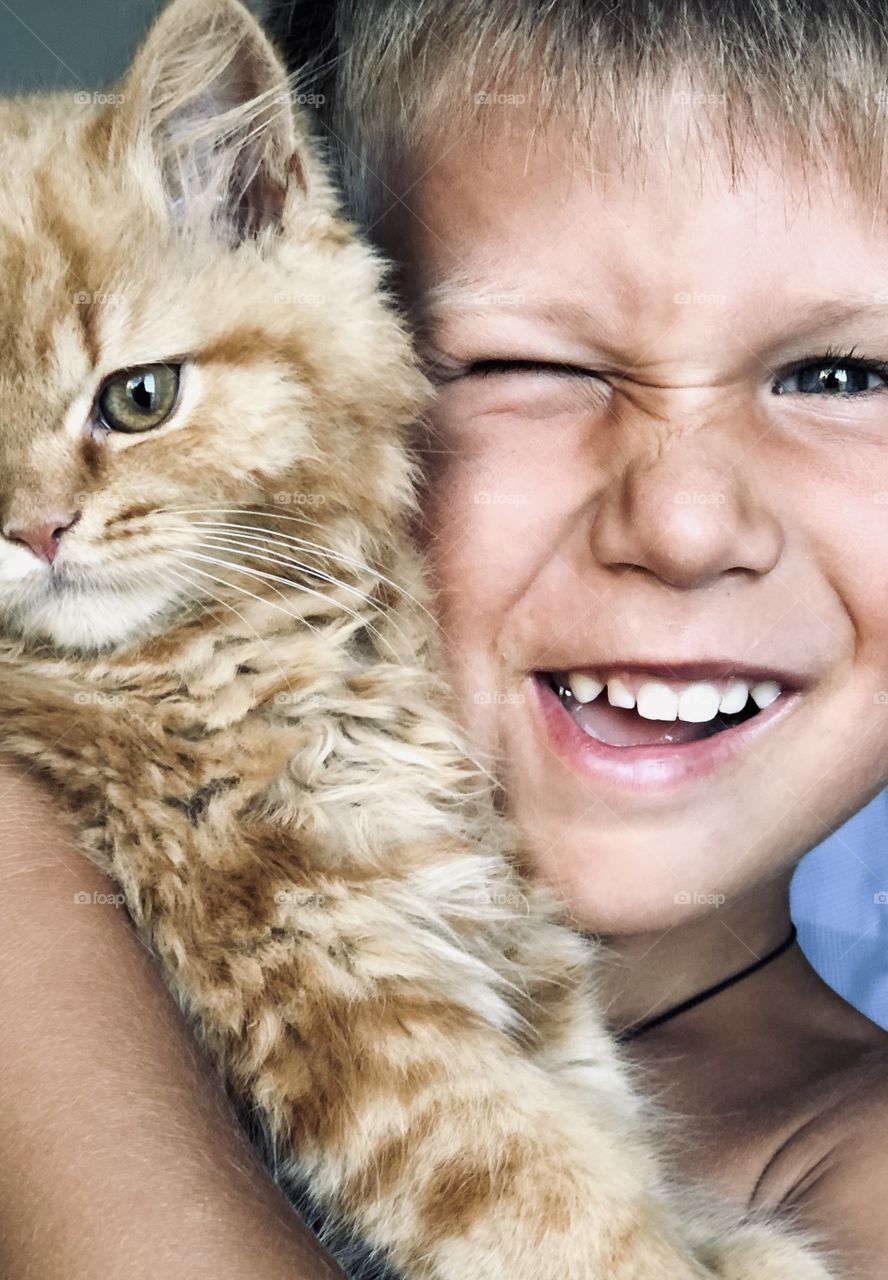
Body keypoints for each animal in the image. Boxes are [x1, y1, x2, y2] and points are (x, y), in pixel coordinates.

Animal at [0, 0, 839, 1274]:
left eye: (137, 398)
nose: (35, 531)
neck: (255, 662)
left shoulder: (508, 937)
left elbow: (623, 1141)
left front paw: (746, 1244)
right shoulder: (332, 978)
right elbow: (572, 1206)